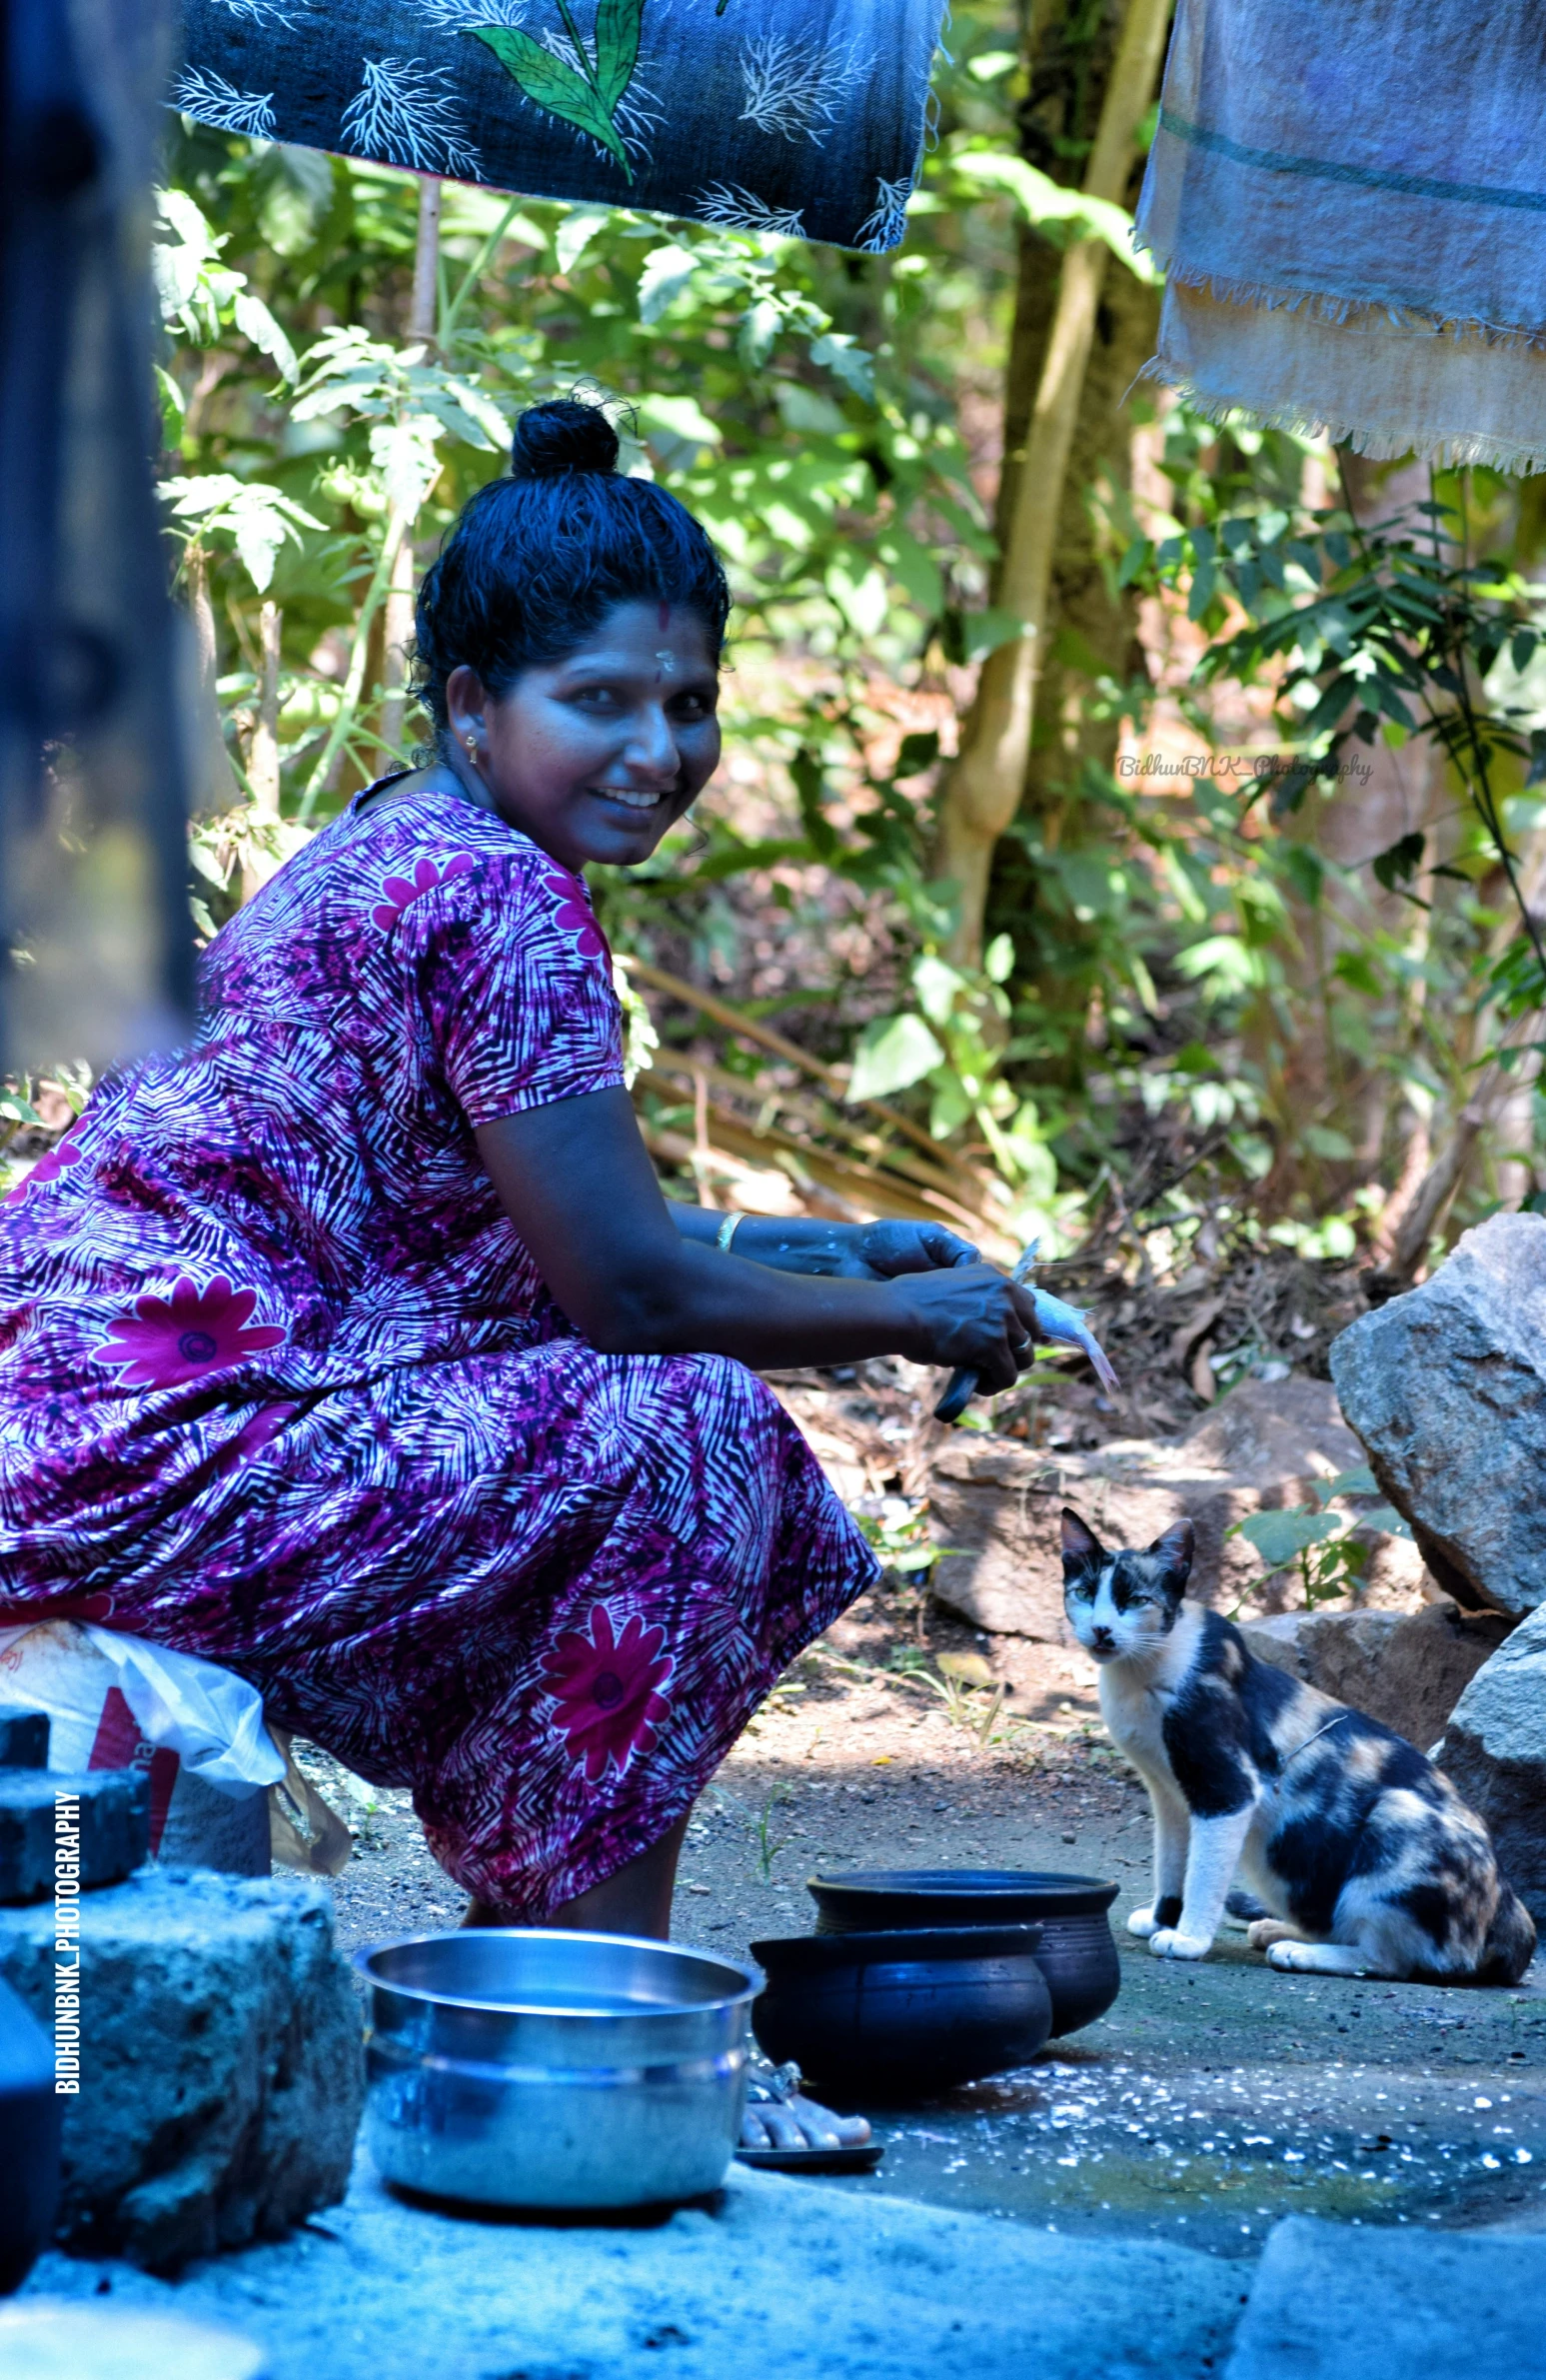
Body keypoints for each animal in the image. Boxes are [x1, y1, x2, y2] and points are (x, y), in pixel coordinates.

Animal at [1060, 1503, 1531, 1989]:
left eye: (1136, 1600)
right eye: (1083, 1592)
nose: (1101, 1629)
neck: (1140, 1674)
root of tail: (1512, 1914)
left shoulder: (1226, 1789)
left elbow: (1203, 1874)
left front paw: (1188, 1939)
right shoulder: (1170, 1794)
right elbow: (1173, 1864)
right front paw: (1161, 1920)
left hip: (1398, 1816)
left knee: (1395, 1961)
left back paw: (1300, 1951)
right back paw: (1277, 1929)